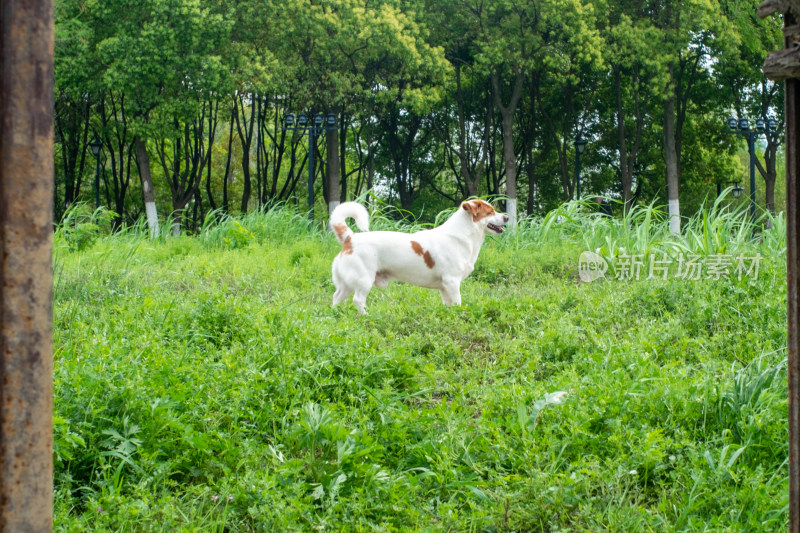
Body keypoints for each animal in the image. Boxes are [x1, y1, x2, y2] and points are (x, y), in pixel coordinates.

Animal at [330, 198, 506, 314]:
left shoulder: (444, 287)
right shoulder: (452, 281)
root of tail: (350, 238)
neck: (462, 235)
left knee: (337, 297)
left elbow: (448, 304)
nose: (507, 217)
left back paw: (336, 314)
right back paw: (366, 315)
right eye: (490, 211)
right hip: (364, 280)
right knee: (358, 300)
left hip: (347, 283)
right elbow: (458, 302)